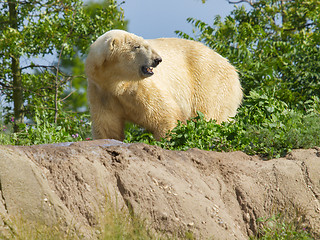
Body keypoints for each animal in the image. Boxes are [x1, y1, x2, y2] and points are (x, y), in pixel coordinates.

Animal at [85, 29, 242, 141]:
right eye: (136, 46)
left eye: (146, 44)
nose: (157, 59)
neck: (116, 83)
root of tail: (232, 69)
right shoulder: (101, 92)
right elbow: (107, 126)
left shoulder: (139, 88)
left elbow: (165, 113)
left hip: (210, 81)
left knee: (211, 116)